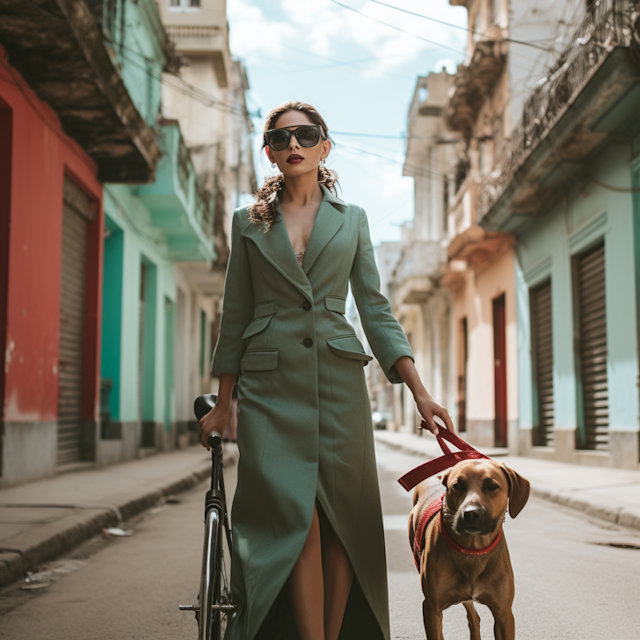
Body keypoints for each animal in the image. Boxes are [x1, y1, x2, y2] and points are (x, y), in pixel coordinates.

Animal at [410, 458, 528, 636]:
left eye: (492, 486)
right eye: (456, 485)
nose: (471, 513)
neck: (472, 551)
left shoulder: (504, 614)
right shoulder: (431, 609)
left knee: (474, 617)